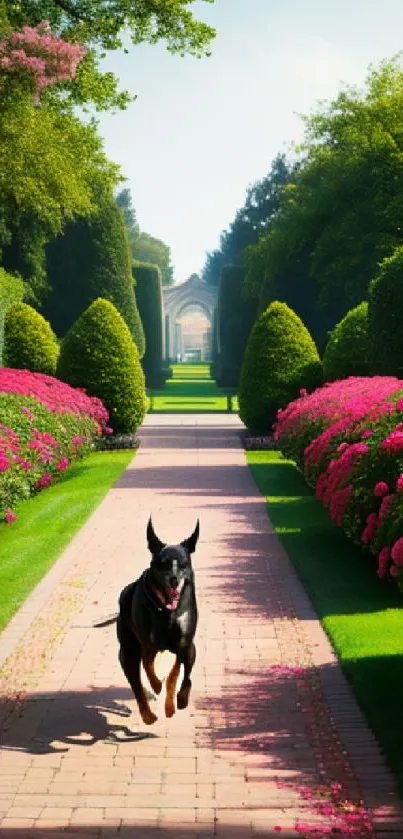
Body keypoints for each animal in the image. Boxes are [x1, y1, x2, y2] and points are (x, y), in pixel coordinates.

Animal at [96, 516, 200, 724]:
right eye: (163, 563)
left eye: (183, 564)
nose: (174, 580)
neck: (167, 611)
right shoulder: (148, 644)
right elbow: (148, 667)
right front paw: (157, 686)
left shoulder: (185, 645)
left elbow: (179, 676)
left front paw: (178, 701)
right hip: (128, 650)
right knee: (136, 683)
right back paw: (148, 714)